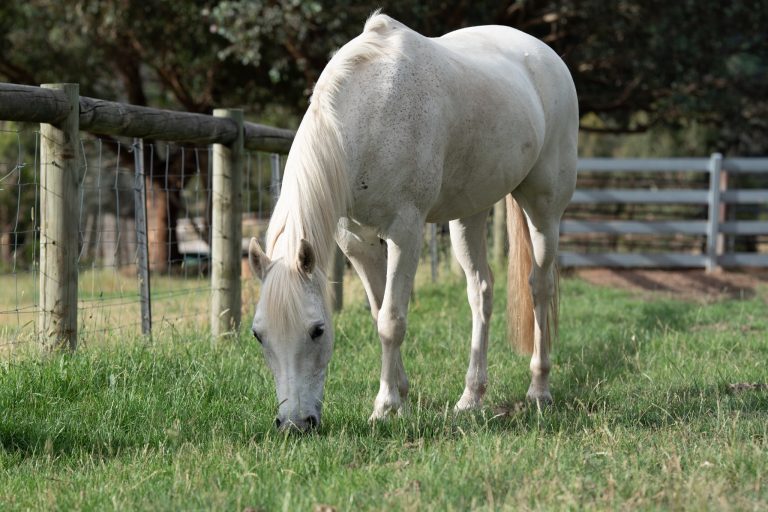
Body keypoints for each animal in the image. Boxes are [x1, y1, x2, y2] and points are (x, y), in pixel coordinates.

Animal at [247, 12, 578, 432]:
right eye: (259, 335)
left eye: (317, 330)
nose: (294, 424)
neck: (372, 111)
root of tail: (545, 55)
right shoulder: (357, 242)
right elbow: (379, 313)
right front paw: (400, 398)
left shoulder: (405, 233)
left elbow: (392, 319)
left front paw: (385, 406)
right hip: (468, 215)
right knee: (481, 292)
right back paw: (471, 397)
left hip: (544, 208)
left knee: (540, 287)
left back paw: (539, 390)